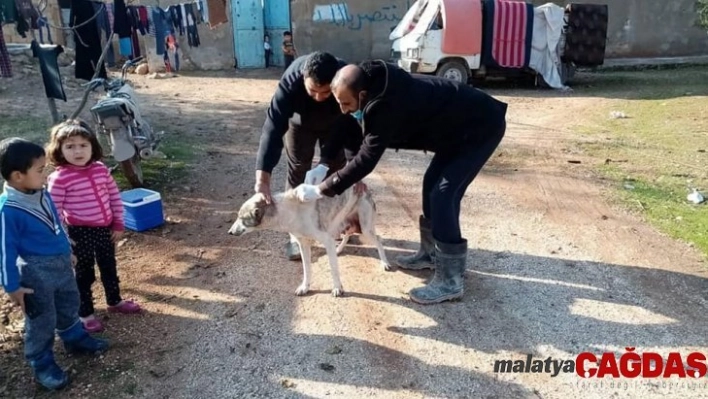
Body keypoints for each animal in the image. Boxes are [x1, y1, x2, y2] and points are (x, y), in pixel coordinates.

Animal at [228, 188, 390, 296]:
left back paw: (385, 263)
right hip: (343, 224)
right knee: (347, 235)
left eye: (242, 218)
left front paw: (337, 287)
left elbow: (334, 268)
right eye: (238, 217)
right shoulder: (303, 244)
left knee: (378, 240)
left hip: (365, 228)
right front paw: (305, 287)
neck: (289, 212)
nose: (229, 232)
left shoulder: (327, 240)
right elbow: (307, 269)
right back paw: (339, 249)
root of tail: (365, 188)